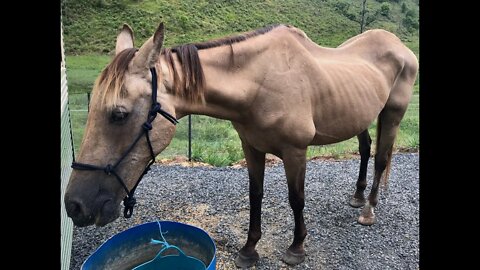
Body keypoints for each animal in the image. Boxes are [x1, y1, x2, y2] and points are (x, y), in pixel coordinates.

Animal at [63, 23, 416, 268]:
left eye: (118, 114)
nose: (74, 206)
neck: (261, 82)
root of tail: (399, 45)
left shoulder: (295, 152)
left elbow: (296, 199)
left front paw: (296, 249)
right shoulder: (252, 147)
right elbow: (255, 196)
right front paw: (249, 251)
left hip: (392, 114)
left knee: (381, 159)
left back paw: (368, 210)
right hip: (360, 116)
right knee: (366, 149)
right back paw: (357, 197)